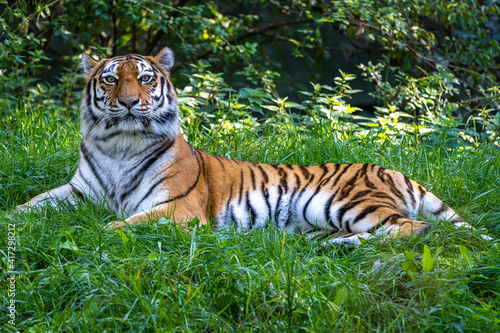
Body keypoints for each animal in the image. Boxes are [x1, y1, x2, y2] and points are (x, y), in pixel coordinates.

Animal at [16, 46, 492, 244]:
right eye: (112, 79)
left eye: (146, 78)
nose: (130, 103)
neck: (121, 145)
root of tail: (389, 169)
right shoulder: (78, 191)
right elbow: (29, 205)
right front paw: (14, 221)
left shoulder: (177, 207)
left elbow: (122, 225)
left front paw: (94, 233)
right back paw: (325, 246)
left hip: (345, 203)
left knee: (416, 230)